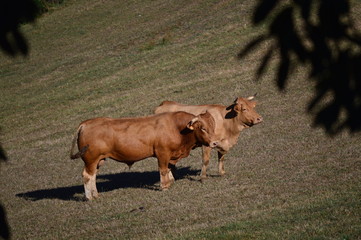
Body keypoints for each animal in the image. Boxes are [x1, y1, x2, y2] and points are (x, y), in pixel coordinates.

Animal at [69, 111, 218, 201]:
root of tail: (85, 124)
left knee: (92, 176)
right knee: (87, 176)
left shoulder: (170, 155)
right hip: (91, 159)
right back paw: (89, 197)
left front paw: (170, 181)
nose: (215, 142)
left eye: (213, 126)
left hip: (98, 160)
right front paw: (164, 186)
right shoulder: (162, 153)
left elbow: (169, 168)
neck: (176, 127)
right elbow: (163, 169)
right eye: (202, 128)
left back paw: (95, 194)